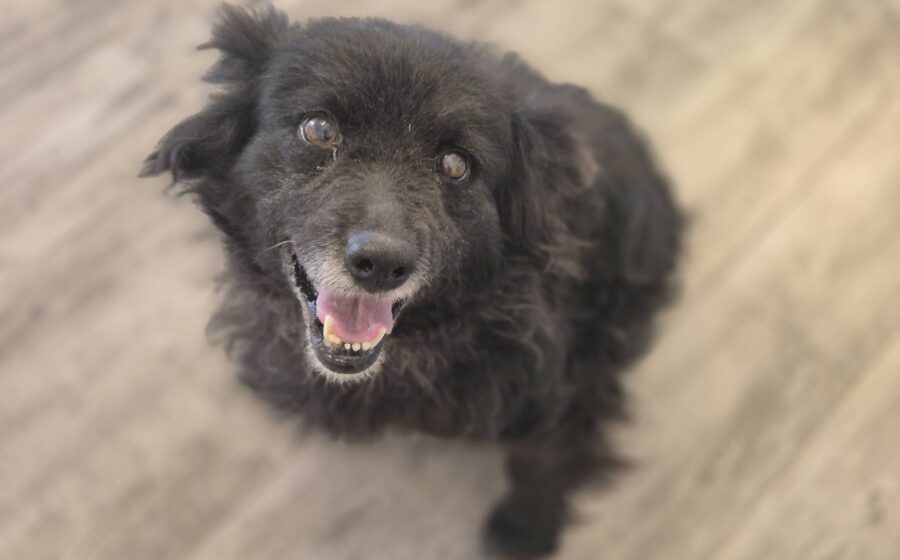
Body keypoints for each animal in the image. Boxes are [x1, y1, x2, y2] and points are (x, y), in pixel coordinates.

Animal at [141, 4, 682, 558]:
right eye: (319, 129)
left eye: (457, 164)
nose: (381, 264)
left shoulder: (572, 384)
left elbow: (545, 457)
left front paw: (524, 528)